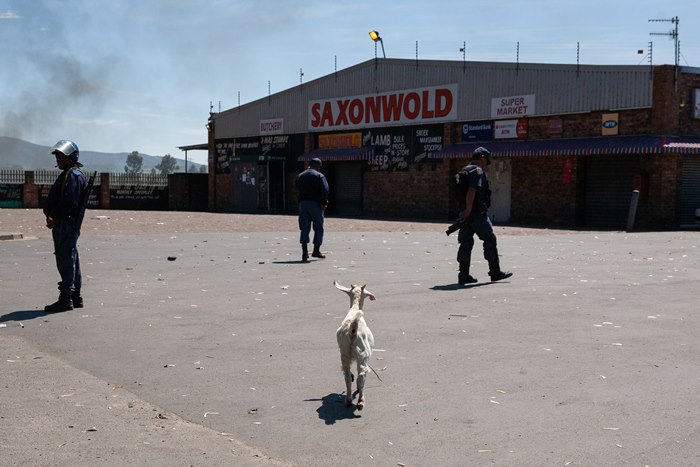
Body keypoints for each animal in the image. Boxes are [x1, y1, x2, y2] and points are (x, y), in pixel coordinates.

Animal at [334, 282, 378, 410]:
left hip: (344, 352)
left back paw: (348, 400)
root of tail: (352, 330)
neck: (354, 309)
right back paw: (360, 402)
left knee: (347, 374)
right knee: (362, 372)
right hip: (363, 353)